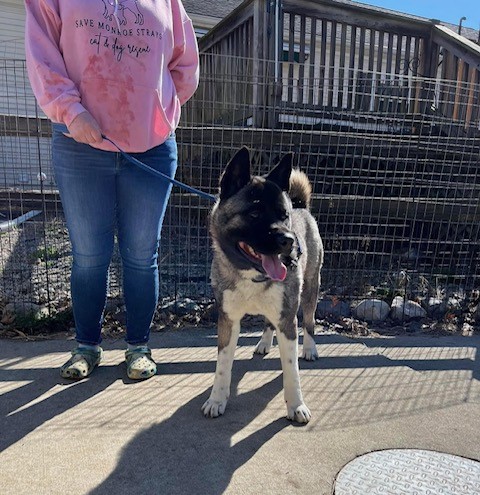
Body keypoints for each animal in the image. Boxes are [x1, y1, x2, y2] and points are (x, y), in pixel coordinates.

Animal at [201, 148, 324, 426]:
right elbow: (222, 365)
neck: (252, 275)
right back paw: (264, 343)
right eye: (254, 214)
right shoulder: (227, 320)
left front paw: (296, 406)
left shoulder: (288, 320)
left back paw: (310, 348)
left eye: (283, 215)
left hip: (310, 289)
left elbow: (291, 370)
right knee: (268, 322)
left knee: (310, 321)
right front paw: (217, 399)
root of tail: (302, 206)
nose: (288, 241)